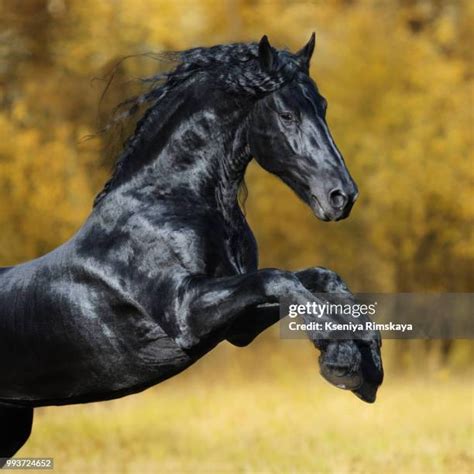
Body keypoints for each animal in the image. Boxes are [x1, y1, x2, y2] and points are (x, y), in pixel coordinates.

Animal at [0, 35, 384, 462]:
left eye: (323, 106)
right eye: (287, 115)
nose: (342, 196)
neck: (170, 201)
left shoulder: (239, 324)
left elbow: (320, 279)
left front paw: (369, 364)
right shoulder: (185, 311)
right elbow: (278, 279)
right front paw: (341, 361)